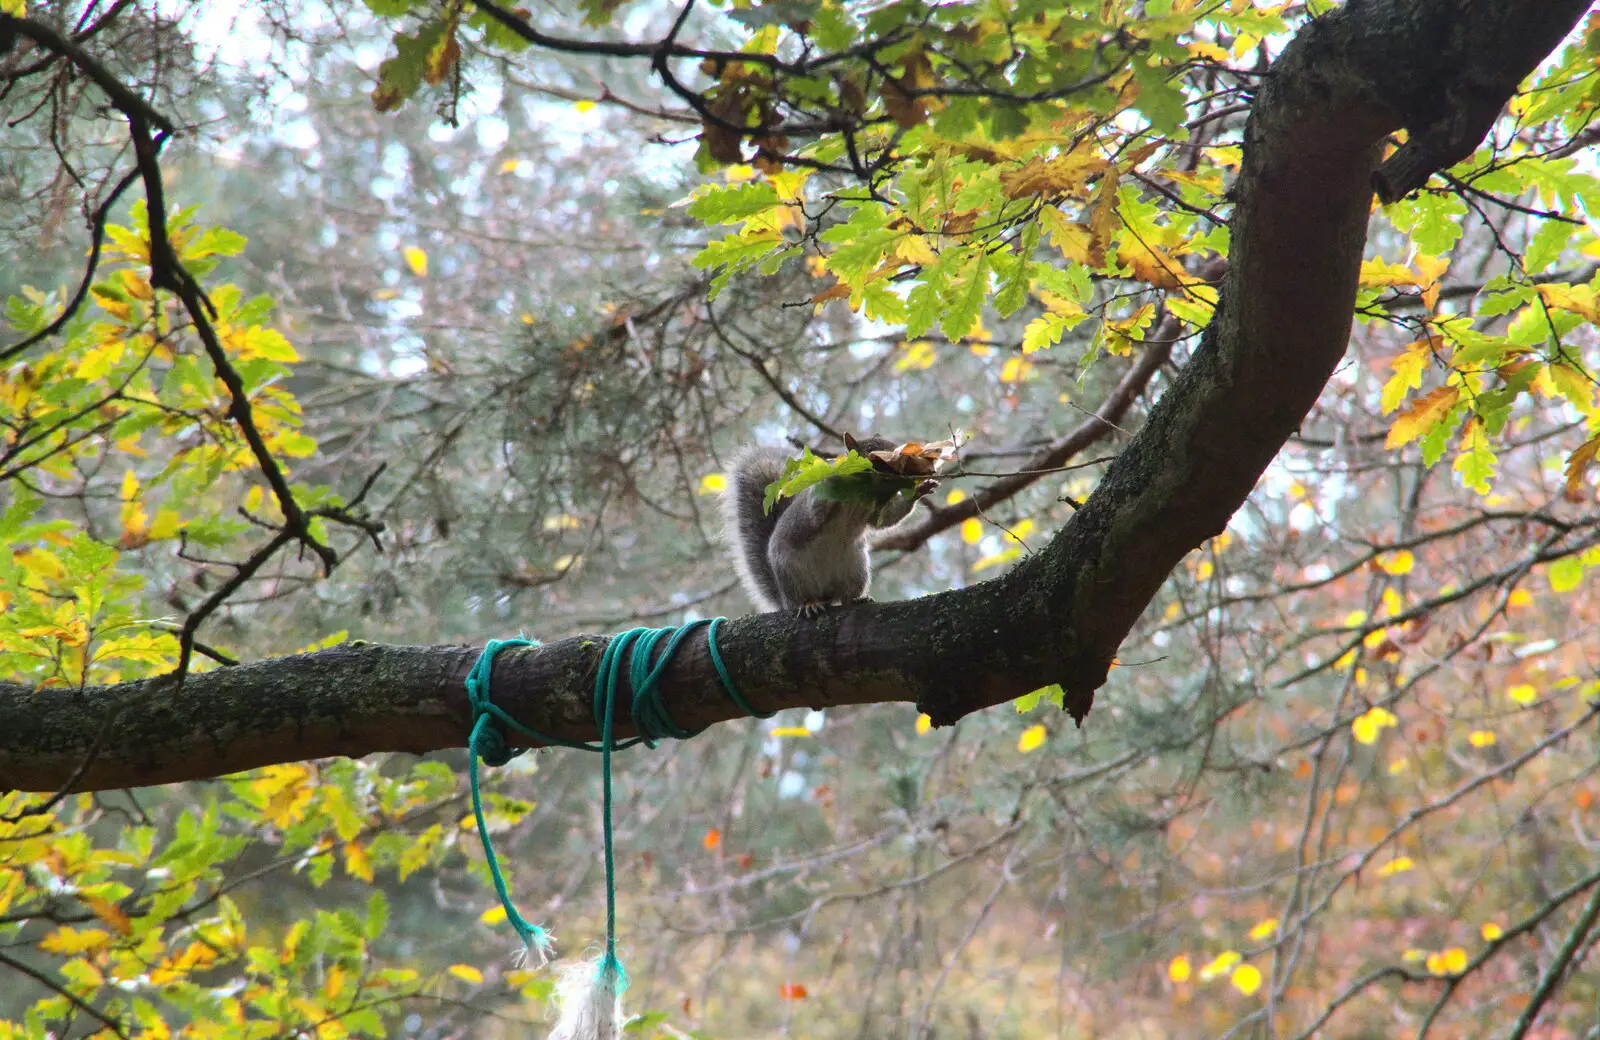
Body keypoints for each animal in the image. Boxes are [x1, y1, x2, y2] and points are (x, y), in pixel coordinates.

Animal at [723, 432, 934, 611]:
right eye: (871, 447)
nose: (903, 453)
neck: (864, 488)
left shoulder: (874, 508)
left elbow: (884, 520)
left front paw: (919, 490)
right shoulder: (816, 504)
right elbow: (817, 511)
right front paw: (833, 476)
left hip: (856, 570)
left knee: (845, 597)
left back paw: (857, 599)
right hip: (791, 573)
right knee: (801, 598)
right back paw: (809, 605)